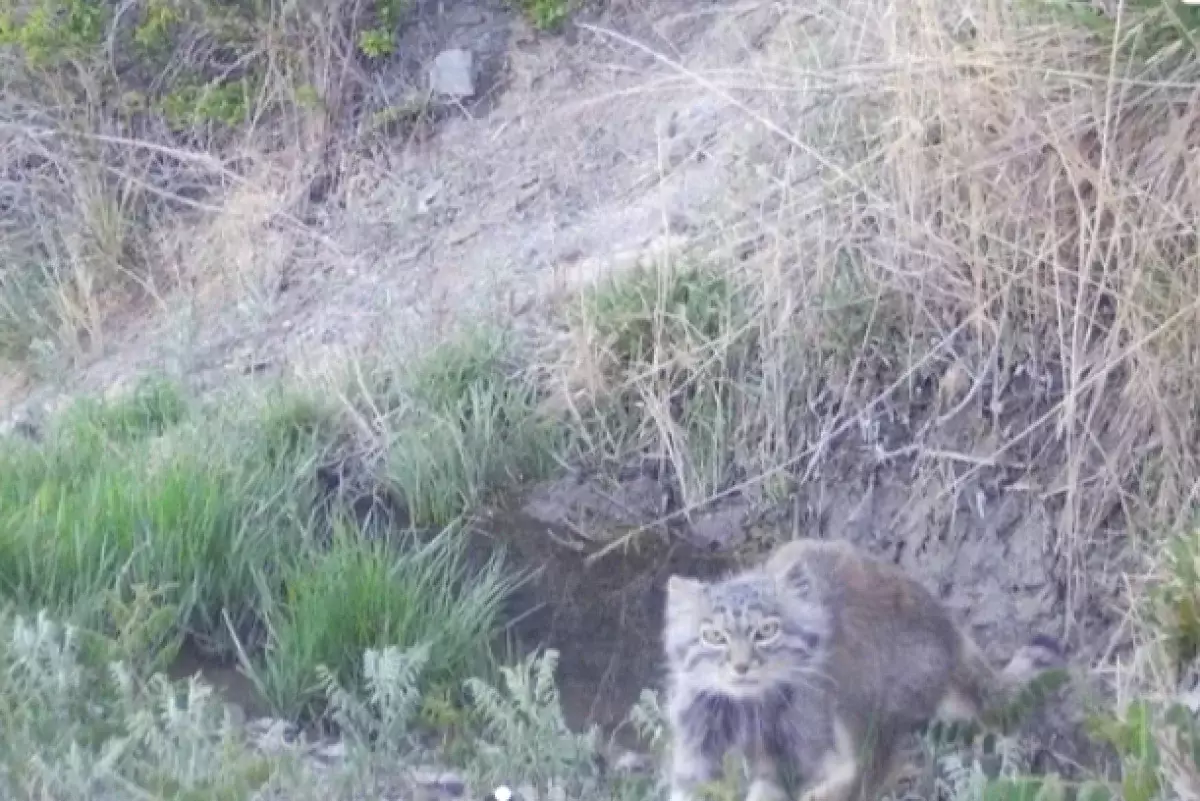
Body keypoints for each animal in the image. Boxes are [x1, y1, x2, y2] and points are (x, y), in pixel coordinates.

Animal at [662, 534, 1065, 801]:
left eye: (766, 632)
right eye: (713, 636)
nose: (741, 667)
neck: (745, 706)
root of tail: (951, 633)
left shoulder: (788, 754)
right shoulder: (696, 752)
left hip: (861, 700)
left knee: (869, 772)